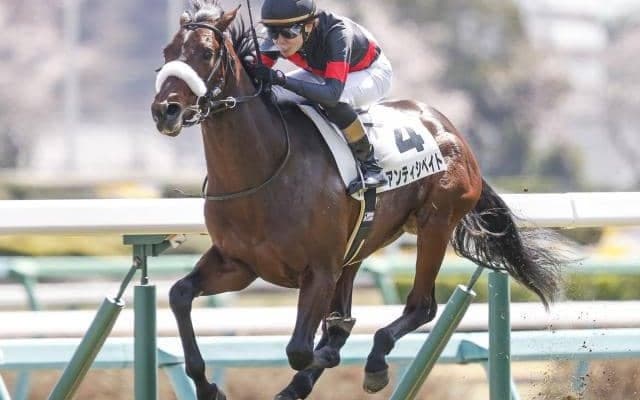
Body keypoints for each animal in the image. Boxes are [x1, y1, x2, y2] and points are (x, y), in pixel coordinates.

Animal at [151, 1, 567, 399]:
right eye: (168, 50)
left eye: (206, 53)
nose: (164, 110)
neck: (263, 172)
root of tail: (448, 128)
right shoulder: (238, 264)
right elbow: (179, 294)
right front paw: (207, 386)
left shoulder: (319, 270)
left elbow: (301, 349)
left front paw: (321, 359)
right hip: (361, 243)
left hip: (435, 223)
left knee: (421, 305)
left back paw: (374, 362)